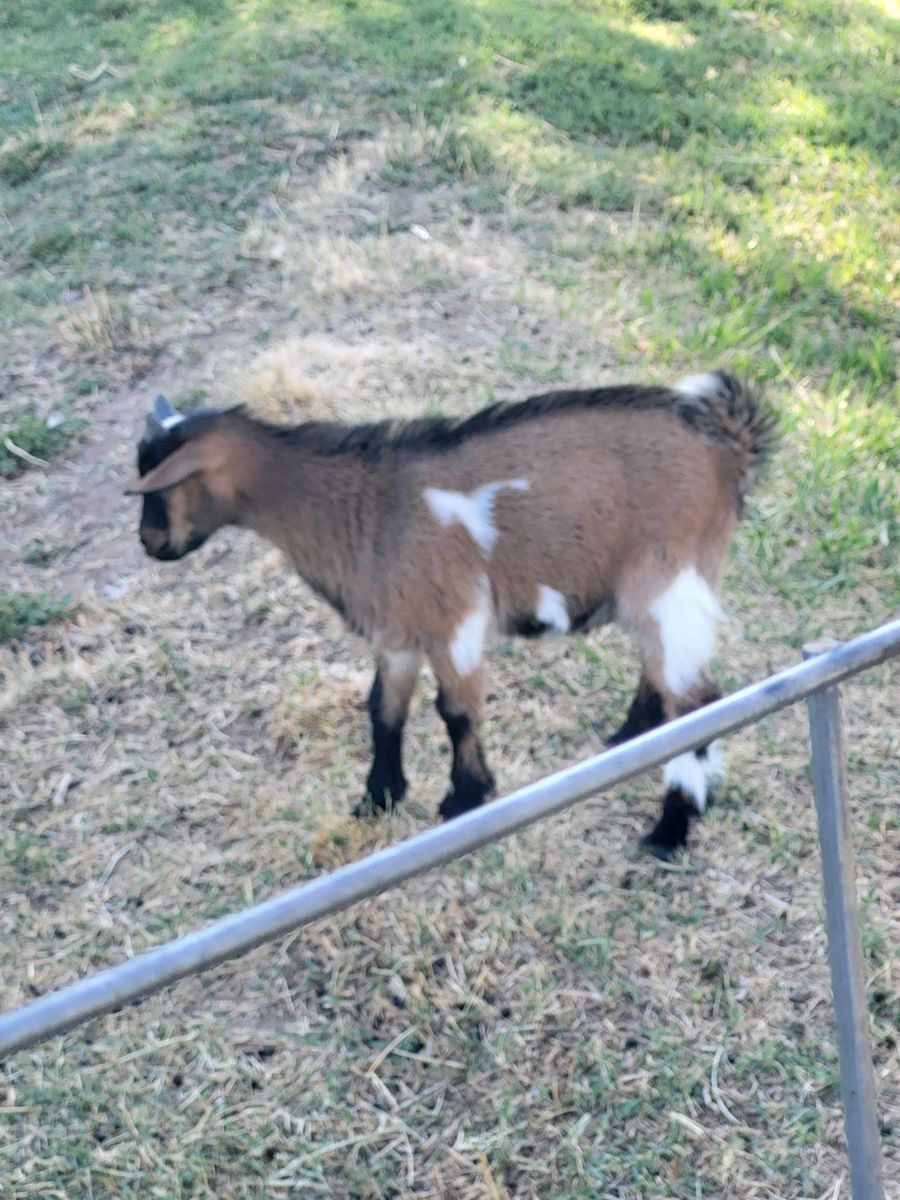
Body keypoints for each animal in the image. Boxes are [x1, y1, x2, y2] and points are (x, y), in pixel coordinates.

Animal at [130, 371, 776, 859]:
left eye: (161, 487)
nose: (150, 545)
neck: (365, 507)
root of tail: (729, 447)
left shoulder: (453, 620)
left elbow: (456, 713)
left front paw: (465, 801)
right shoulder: (396, 631)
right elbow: (384, 710)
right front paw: (378, 799)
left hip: (672, 580)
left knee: (699, 702)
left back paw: (669, 832)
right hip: (661, 595)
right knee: (665, 679)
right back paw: (627, 741)